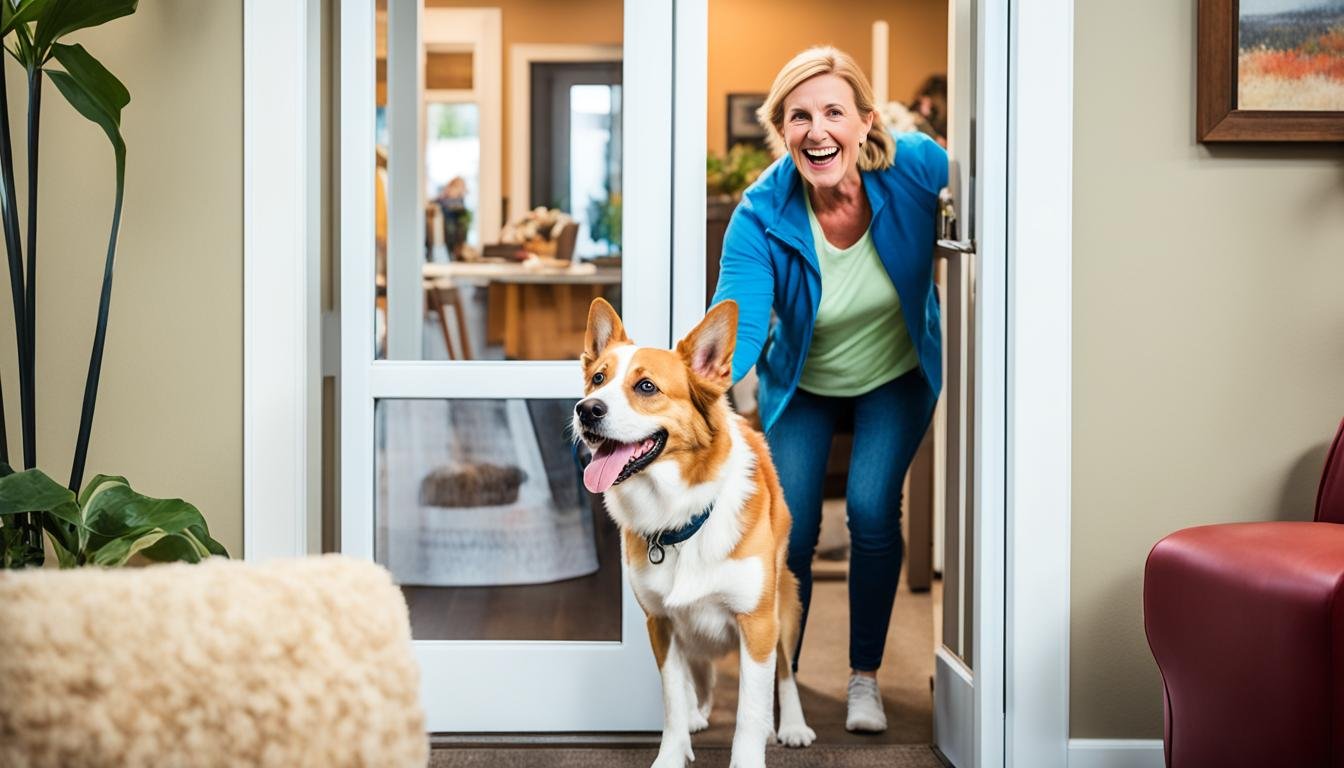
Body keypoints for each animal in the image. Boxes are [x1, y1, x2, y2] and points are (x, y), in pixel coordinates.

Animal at [572, 298, 811, 768]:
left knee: (785, 673)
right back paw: (701, 712)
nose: (587, 408)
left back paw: (791, 726)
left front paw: (750, 754)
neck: (679, 520)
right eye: (598, 379)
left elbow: (750, 713)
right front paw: (672, 754)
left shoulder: (757, 623)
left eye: (646, 386)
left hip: (785, 606)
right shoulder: (660, 623)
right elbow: (673, 702)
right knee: (700, 677)